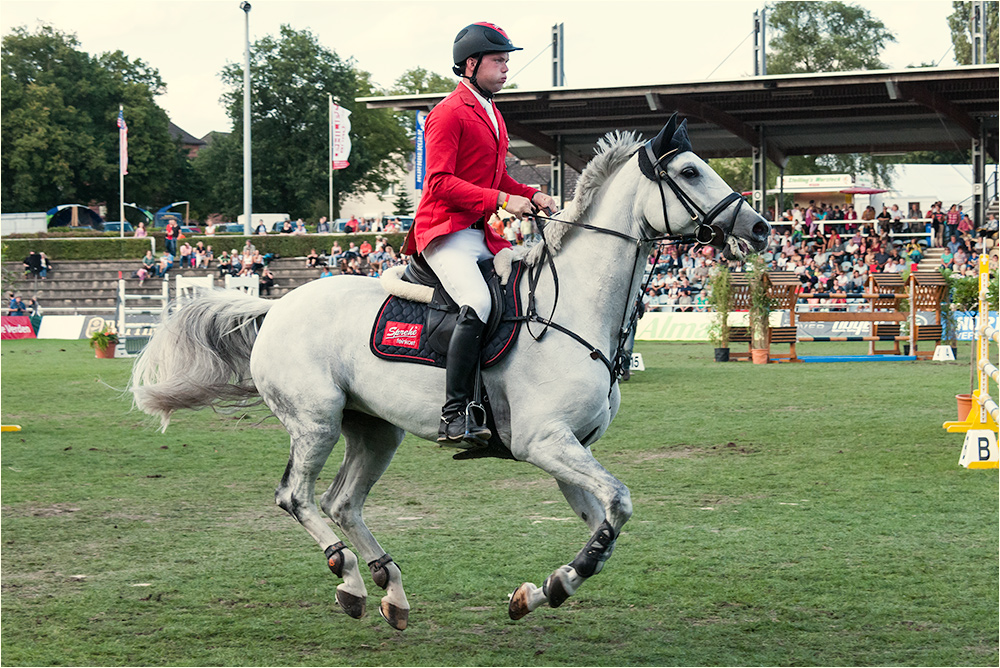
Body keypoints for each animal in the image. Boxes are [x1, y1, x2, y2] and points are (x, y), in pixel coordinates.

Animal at [129, 116, 768, 632]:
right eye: (689, 171)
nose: (761, 229)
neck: (573, 308)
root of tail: (275, 305)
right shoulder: (544, 442)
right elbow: (619, 504)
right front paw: (557, 583)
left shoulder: (569, 447)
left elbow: (603, 522)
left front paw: (543, 590)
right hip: (317, 421)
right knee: (298, 496)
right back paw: (349, 576)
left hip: (374, 430)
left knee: (343, 502)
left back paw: (388, 590)